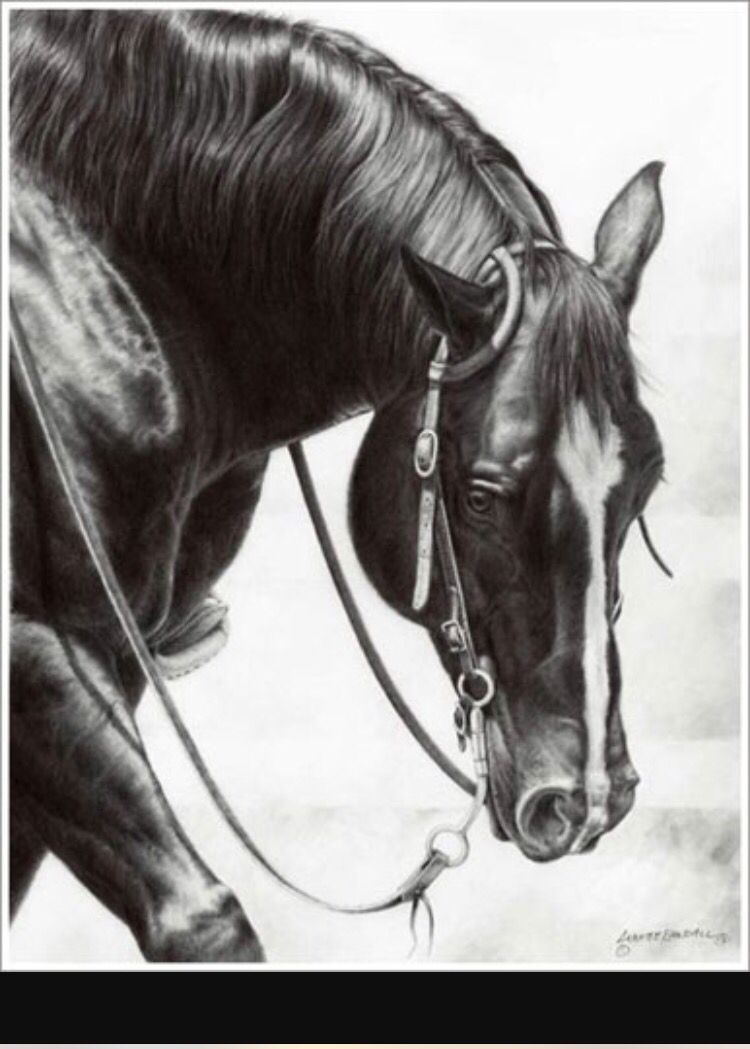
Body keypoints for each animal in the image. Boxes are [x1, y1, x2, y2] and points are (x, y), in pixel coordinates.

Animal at [9, 8, 667, 963]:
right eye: (479, 496)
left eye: (644, 485)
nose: (580, 802)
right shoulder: (32, 647)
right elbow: (202, 918)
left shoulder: (113, 664)